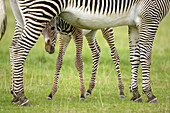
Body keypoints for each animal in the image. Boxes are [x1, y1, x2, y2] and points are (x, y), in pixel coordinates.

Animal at [10, 0, 169, 106]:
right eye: (44, 31)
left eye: (53, 28)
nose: (49, 49)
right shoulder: (65, 36)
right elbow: (59, 61)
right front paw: (52, 92)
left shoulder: (77, 33)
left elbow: (79, 62)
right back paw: (21, 97)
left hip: (104, 28)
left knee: (113, 54)